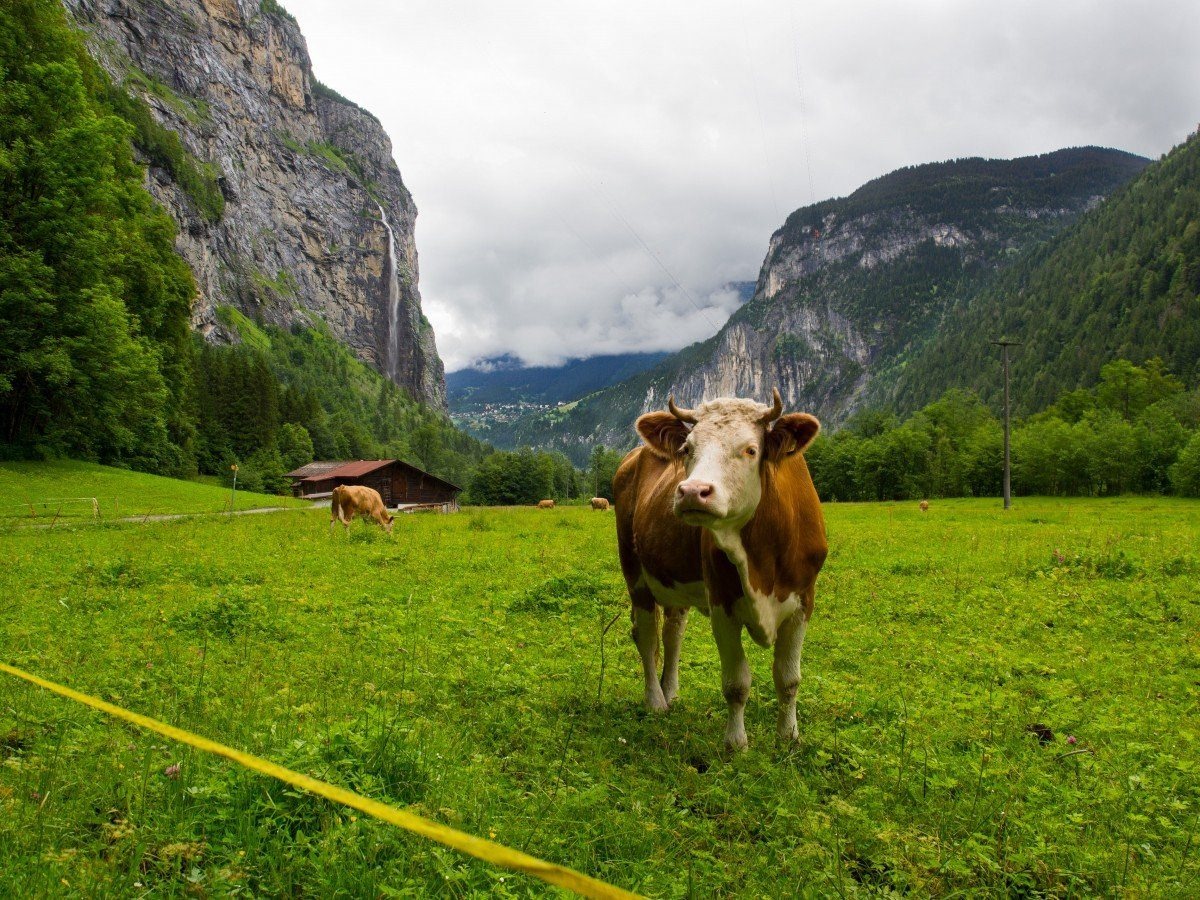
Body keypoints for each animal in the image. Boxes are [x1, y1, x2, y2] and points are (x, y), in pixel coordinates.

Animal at [614, 391, 830, 748]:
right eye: (687, 449)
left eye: (750, 450)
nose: (691, 491)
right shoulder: (721, 603)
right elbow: (736, 682)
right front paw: (735, 743)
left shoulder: (803, 600)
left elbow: (788, 679)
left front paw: (788, 737)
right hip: (634, 573)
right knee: (646, 635)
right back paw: (656, 699)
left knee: (673, 633)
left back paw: (670, 691)